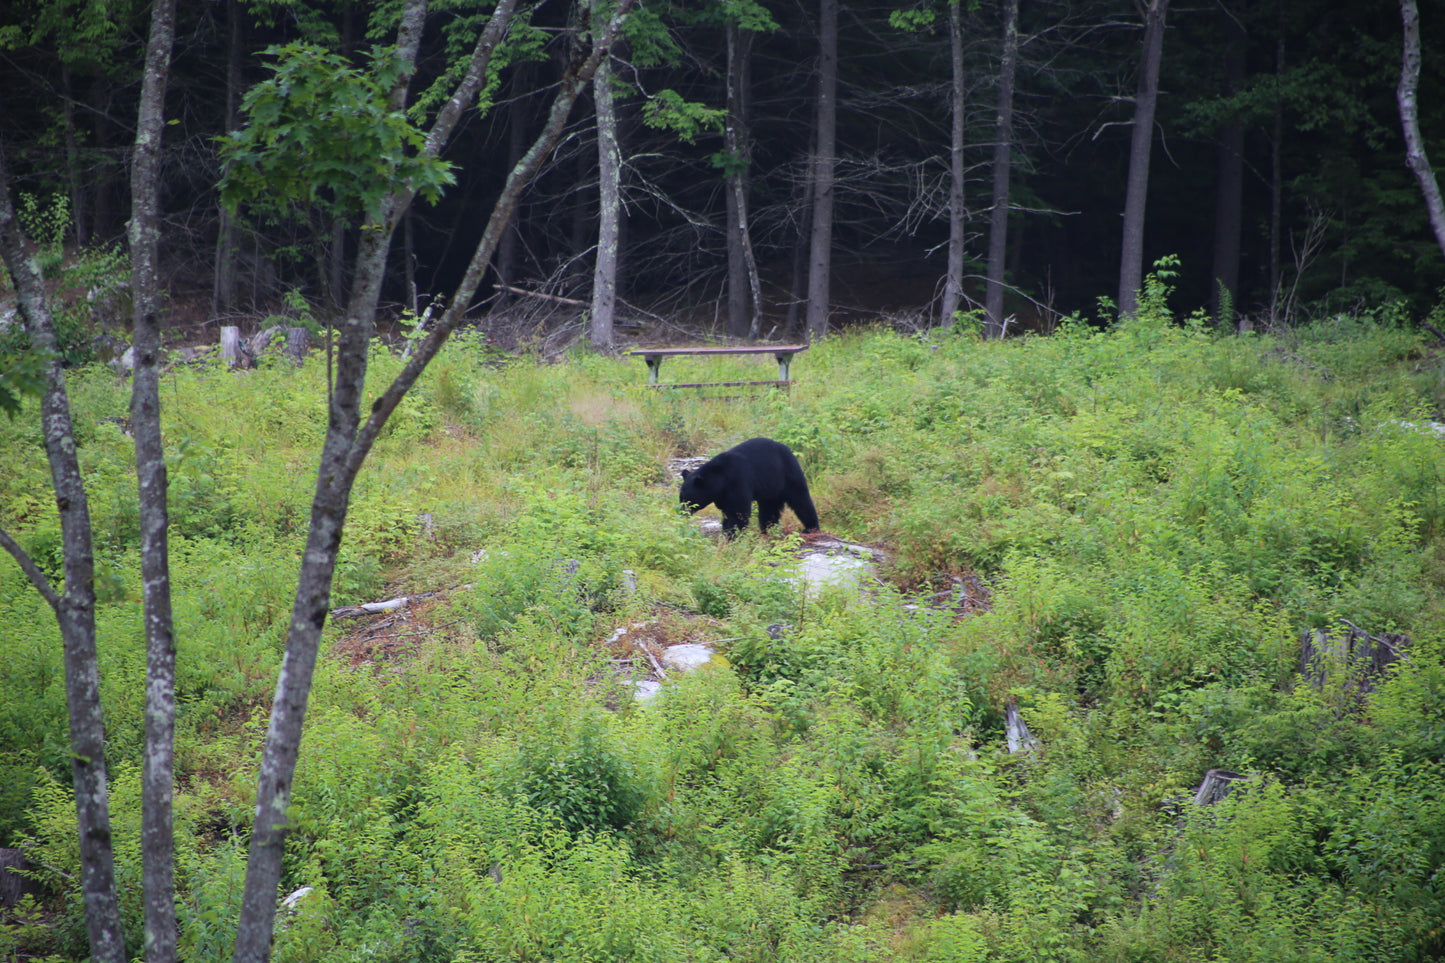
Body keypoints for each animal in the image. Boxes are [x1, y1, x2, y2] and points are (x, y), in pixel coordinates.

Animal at [678, 437, 820, 538]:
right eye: (681, 498)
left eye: (687, 500)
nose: (682, 513)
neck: (720, 477)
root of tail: (788, 449)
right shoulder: (722, 495)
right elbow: (728, 511)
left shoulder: (738, 481)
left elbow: (738, 511)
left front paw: (732, 535)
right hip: (770, 488)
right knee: (769, 508)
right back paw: (766, 528)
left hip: (787, 475)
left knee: (800, 499)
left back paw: (811, 527)